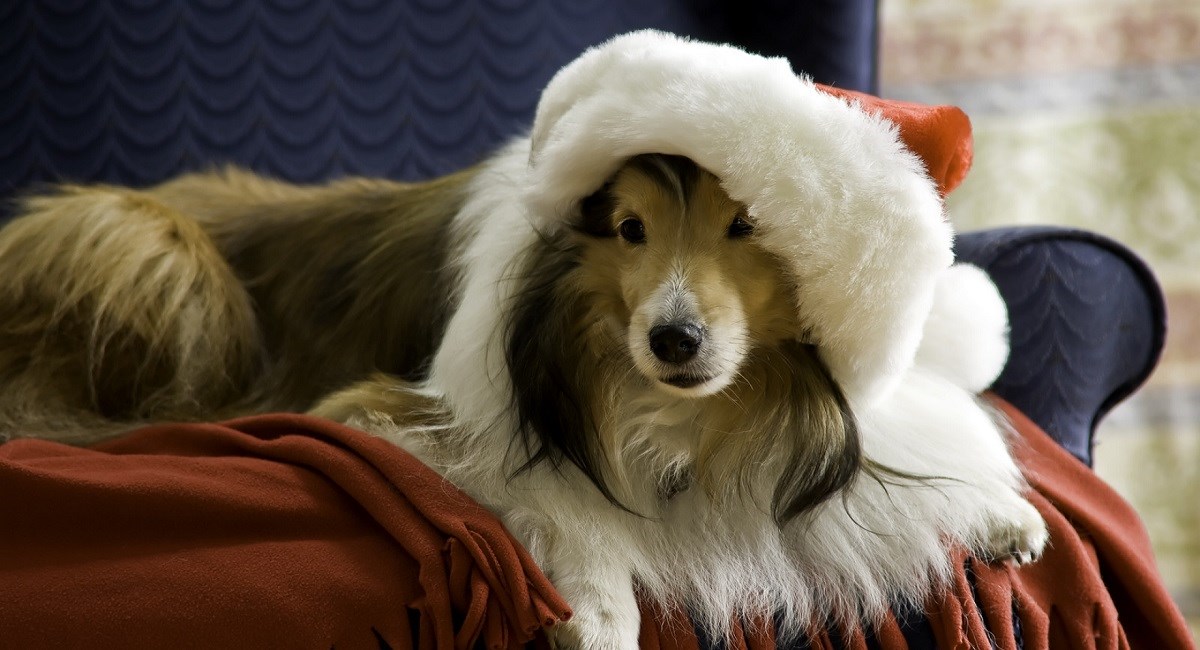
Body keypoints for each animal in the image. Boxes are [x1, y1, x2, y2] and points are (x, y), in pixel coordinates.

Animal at [0, 151, 1041, 647]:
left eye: (747, 224)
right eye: (629, 229)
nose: (672, 341)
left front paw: (996, 512)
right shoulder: (390, 411)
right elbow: (563, 502)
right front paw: (601, 611)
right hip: (147, 243)